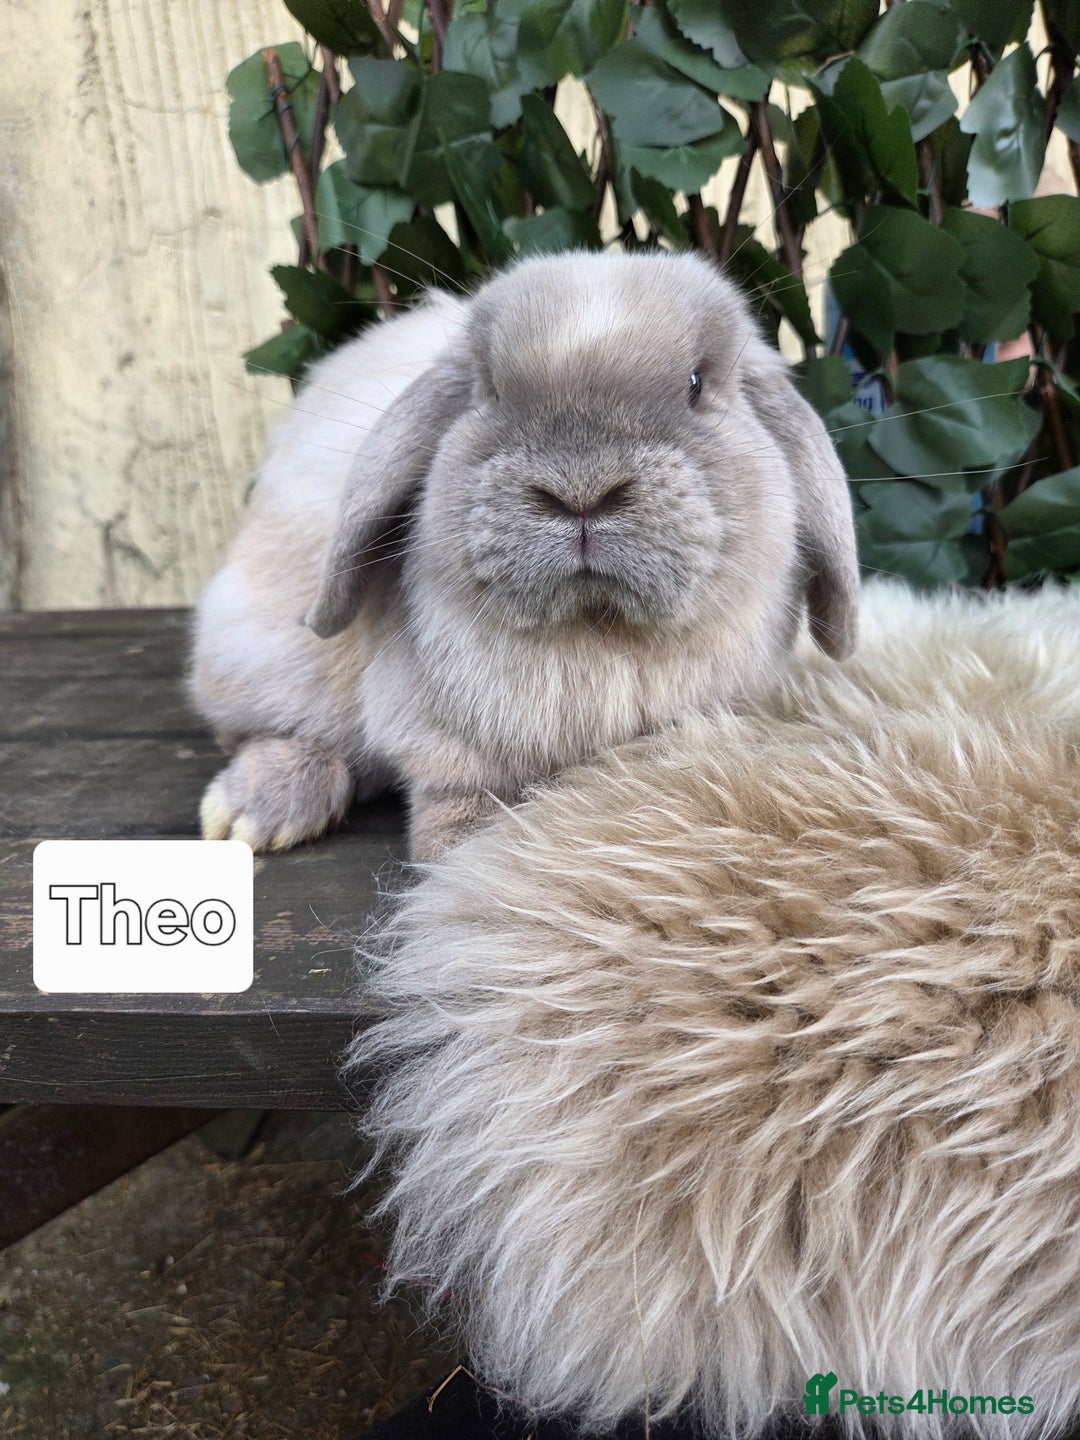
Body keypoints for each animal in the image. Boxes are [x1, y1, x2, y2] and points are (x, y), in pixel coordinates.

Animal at [189, 249, 860, 862]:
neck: (597, 632)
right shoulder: (445, 731)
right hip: (260, 652)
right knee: (264, 731)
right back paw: (259, 810)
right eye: (487, 389)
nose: (581, 491)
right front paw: (471, 851)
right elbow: (461, 786)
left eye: (696, 384)